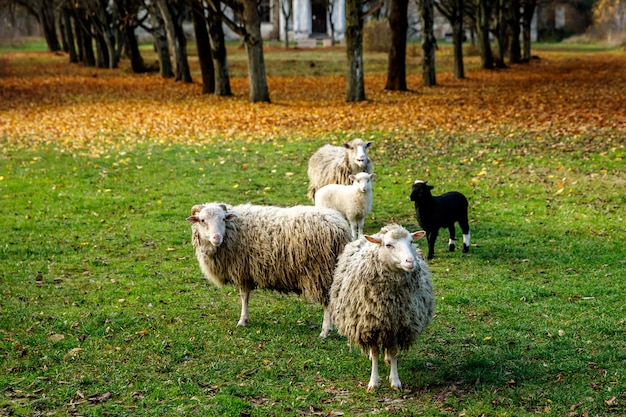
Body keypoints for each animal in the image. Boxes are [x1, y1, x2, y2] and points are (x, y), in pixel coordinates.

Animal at [185, 202, 352, 338]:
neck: (234, 229)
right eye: (202, 220)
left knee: (327, 303)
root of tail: (341, 228)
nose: (216, 238)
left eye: (223, 219)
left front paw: (242, 320)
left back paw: (325, 331)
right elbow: (246, 296)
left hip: (320, 272)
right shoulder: (246, 271)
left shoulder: (242, 271)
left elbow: (243, 296)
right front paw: (245, 319)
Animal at [326, 224, 434, 390]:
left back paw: (388, 358)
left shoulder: (397, 326)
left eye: (410, 241)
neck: (389, 302)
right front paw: (373, 382)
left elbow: (394, 351)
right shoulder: (370, 326)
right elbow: (376, 352)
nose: (410, 261)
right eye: (388, 245)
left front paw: (395, 381)